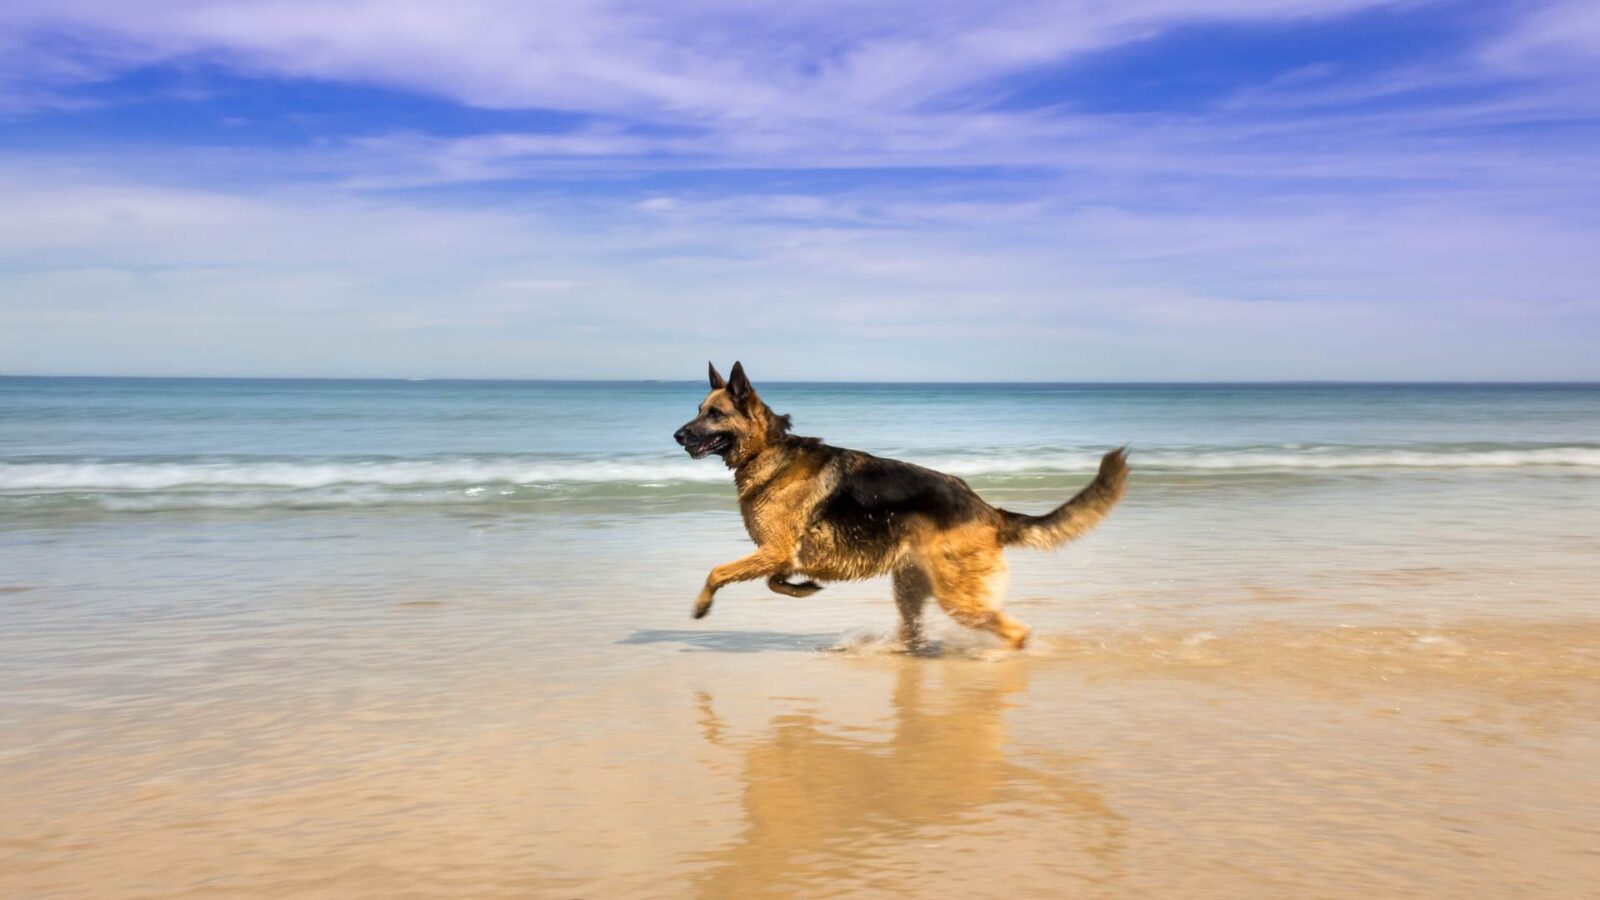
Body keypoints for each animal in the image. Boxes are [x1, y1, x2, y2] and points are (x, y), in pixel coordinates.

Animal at [675, 360, 1126, 646]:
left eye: (714, 414)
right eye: (698, 410)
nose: (677, 436)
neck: (768, 451)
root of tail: (988, 512)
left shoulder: (776, 550)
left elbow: (717, 571)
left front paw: (700, 606)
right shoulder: (780, 555)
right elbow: (774, 580)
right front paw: (802, 589)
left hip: (958, 597)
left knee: (1016, 632)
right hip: (910, 591)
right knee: (917, 634)